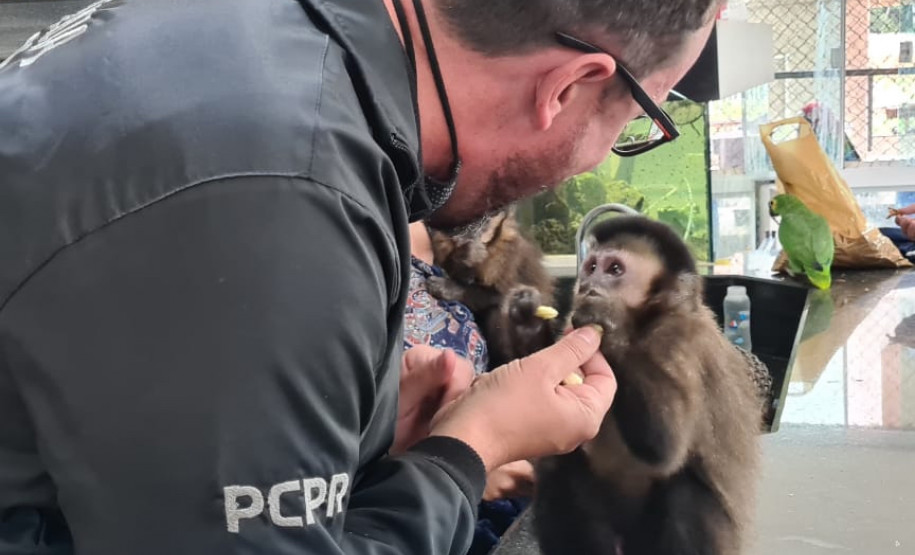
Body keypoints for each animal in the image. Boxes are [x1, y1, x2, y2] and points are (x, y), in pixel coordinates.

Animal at [425, 208, 558, 368]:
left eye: (484, 219)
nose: (474, 233)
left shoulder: (511, 254)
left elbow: (499, 294)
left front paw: (450, 287)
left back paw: (528, 328)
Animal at [532, 215, 763, 555]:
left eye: (614, 269)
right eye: (591, 267)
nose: (587, 286)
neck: (641, 325)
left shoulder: (677, 337)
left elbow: (664, 444)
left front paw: (607, 323)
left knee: (684, 493)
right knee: (557, 467)